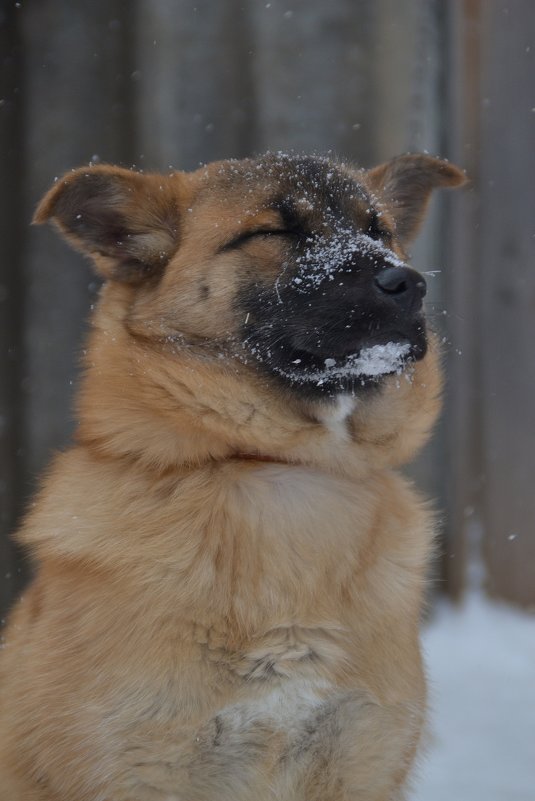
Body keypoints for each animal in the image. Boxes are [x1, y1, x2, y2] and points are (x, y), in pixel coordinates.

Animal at [0, 152, 464, 800]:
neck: (290, 472)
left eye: (380, 231)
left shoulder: (358, 761)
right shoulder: (138, 768)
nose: (410, 284)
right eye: (272, 232)